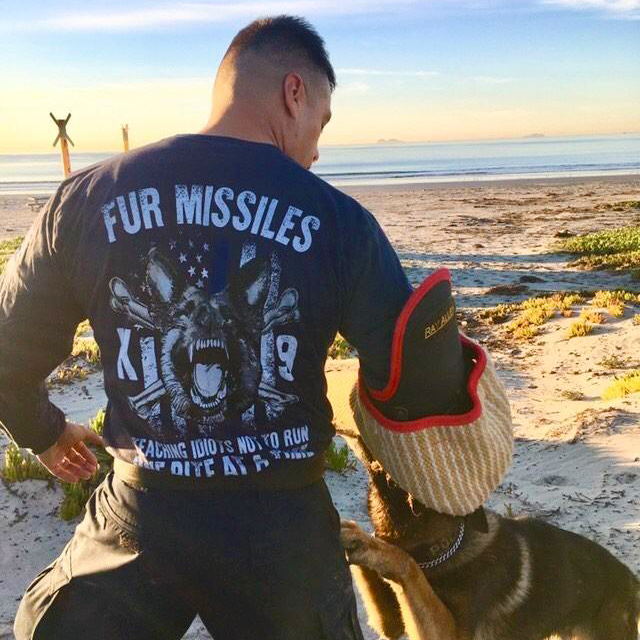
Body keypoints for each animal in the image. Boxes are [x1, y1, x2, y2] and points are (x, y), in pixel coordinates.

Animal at [338, 428, 636, 640]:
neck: (445, 548)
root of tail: (631, 580)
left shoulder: (449, 633)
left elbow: (406, 564)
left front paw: (369, 546)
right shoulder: (391, 624)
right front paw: (352, 533)